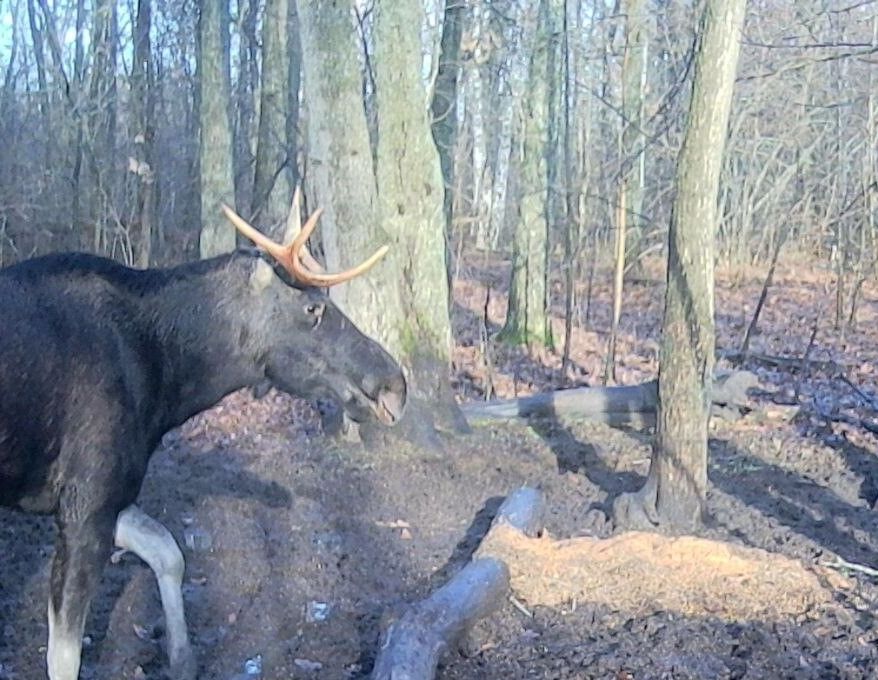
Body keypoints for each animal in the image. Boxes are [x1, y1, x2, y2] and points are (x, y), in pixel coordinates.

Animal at [0, 200, 407, 680]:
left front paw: (183, 659)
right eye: (312, 308)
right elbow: (63, 655)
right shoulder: (86, 501)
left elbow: (168, 551)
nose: (395, 384)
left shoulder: (101, 496)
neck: (169, 381)